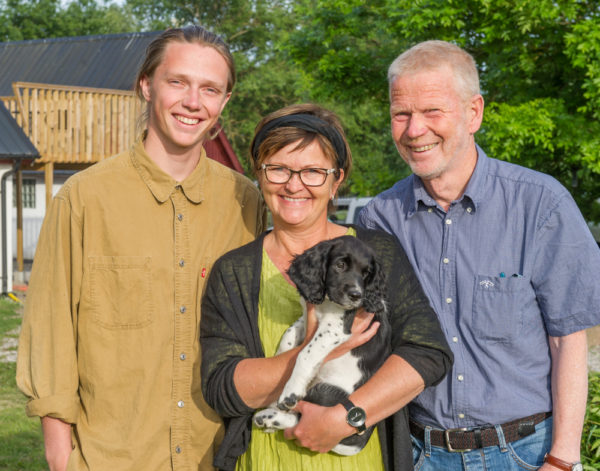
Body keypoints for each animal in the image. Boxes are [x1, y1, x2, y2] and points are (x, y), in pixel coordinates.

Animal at [252, 236, 390, 458]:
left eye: (366, 274)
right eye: (340, 265)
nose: (356, 295)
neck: (326, 302)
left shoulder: (334, 328)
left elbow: (305, 354)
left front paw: (290, 391)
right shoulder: (308, 317)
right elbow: (289, 335)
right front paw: (282, 358)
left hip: (326, 392)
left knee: (300, 419)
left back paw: (269, 417)